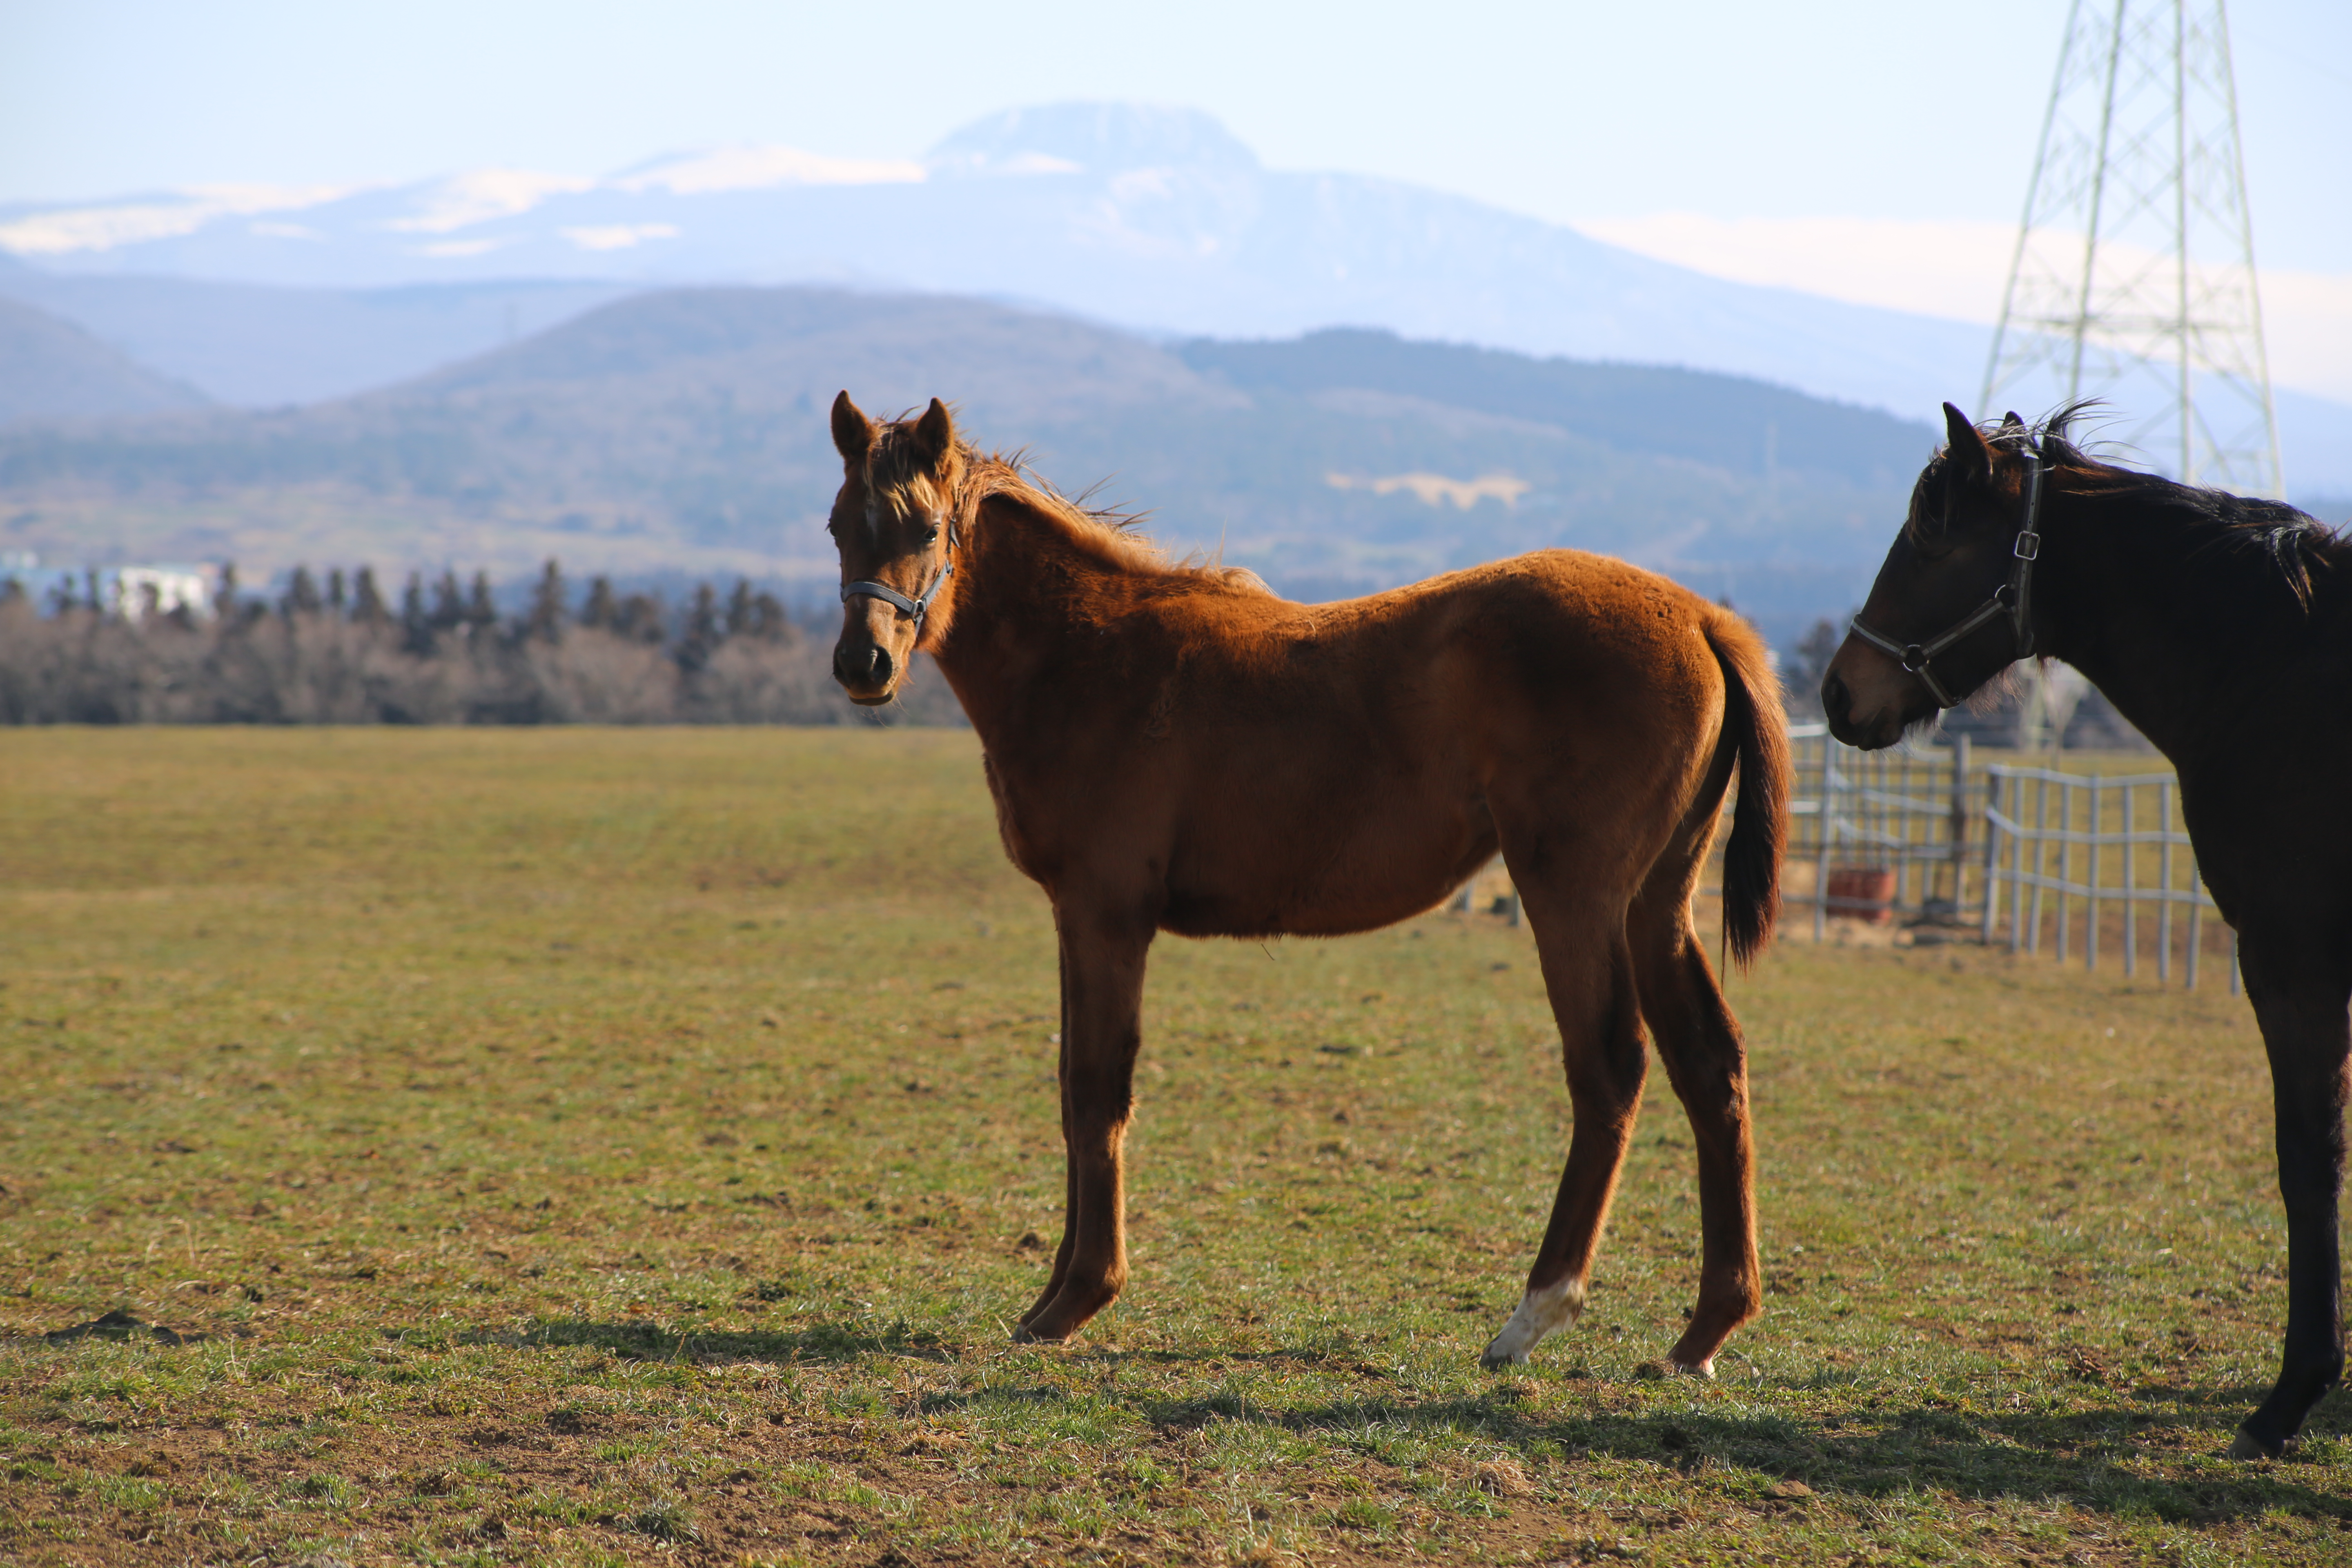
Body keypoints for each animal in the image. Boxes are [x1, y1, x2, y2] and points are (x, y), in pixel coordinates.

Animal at [828, 392, 1778, 1373]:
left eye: (927, 526)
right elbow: (1069, 1091)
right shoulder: (1074, 918)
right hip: (1656, 904)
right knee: (1711, 1065)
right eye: (837, 527)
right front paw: (1049, 1296)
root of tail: (1702, 620)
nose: (864, 666)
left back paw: (1534, 1313)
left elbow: (1097, 1092)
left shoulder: (1108, 915)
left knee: (1610, 1069)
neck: (1090, 655)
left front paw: (1076, 1299)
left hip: (1572, 897)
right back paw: (1704, 1329)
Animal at [1834, 404, 2352, 1457]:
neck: (2277, 668)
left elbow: (2306, 1156)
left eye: (1929, 535)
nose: (1836, 690)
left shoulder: (2291, 962)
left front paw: (2289, 1397)